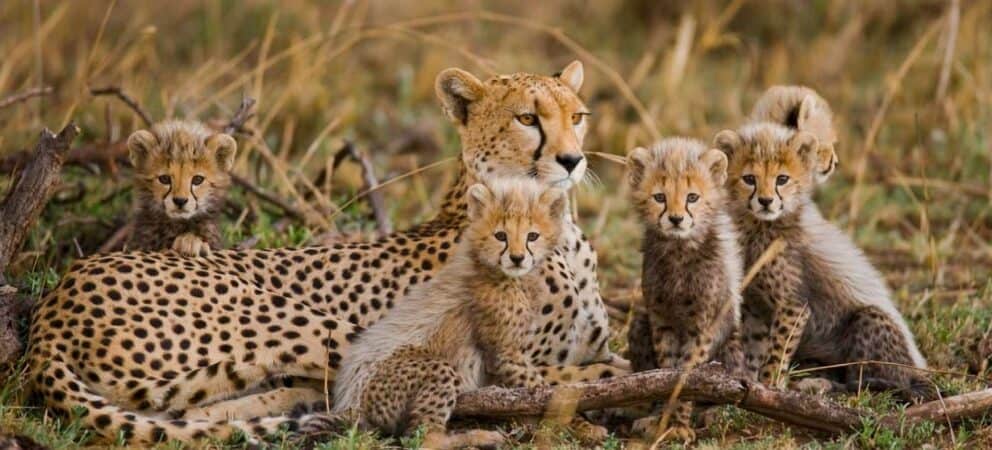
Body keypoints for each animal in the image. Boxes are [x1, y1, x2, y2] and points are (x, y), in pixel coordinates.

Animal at [623, 138, 745, 443]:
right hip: (639, 323)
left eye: (692, 197)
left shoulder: (701, 326)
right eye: (659, 197)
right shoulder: (660, 319)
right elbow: (666, 371)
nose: (676, 219)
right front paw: (663, 420)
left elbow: (688, 374)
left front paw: (678, 423)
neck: (679, 250)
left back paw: (715, 413)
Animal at [713, 122, 931, 400]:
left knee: (872, 384)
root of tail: (919, 370)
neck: (760, 227)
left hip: (869, 321)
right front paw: (750, 383)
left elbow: (777, 351)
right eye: (749, 179)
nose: (765, 201)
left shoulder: (794, 306)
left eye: (782, 179)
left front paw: (770, 386)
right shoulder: (756, 306)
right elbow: (755, 348)